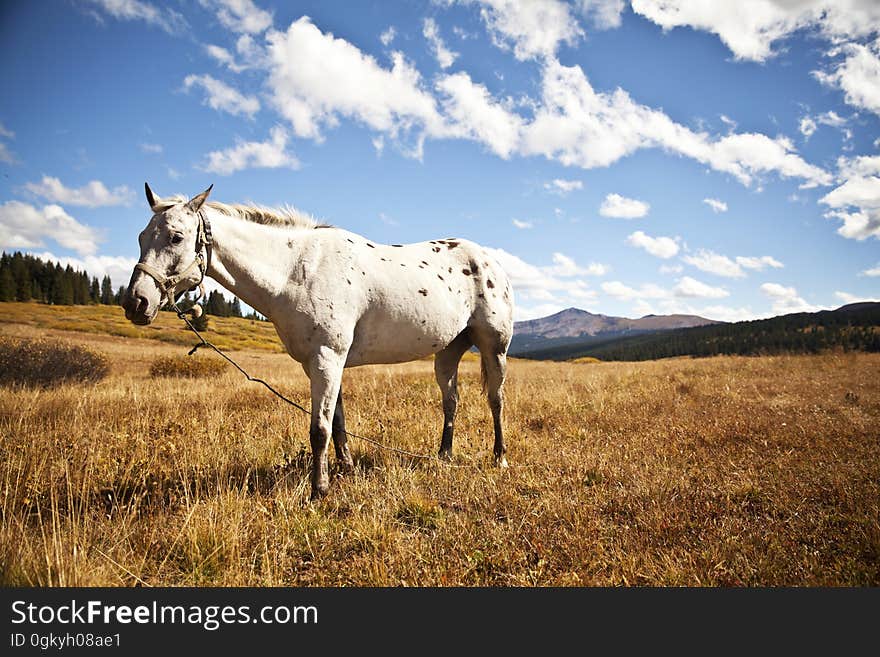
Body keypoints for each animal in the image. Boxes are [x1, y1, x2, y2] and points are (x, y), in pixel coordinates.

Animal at [120, 184, 512, 498]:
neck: (296, 270)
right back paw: (444, 456)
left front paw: (319, 490)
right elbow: (336, 421)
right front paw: (345, 470)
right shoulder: (320, 362)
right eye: (139, 237)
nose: (136, 303)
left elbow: (319, 429)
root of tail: (488, 259)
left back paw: (499, 457)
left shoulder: (328, 357)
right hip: (448, 351)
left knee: (496, 400)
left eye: (176, 237)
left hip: (495, 347)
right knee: (451, 401)